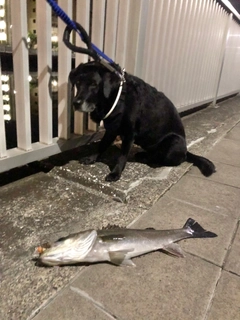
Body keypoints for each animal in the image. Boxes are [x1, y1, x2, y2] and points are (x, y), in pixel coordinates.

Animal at [69, 61, 216, 181]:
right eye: (78, 83)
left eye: (94, 84)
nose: (75, 103)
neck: (118, 97)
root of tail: (186, 150)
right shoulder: (111, 130)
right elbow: (102, 145)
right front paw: (92, 158)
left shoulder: (129, 134)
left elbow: (122, 156)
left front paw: (115, 173)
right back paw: (143, 155)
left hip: (174, 141)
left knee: (166, 159)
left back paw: (150, 160)